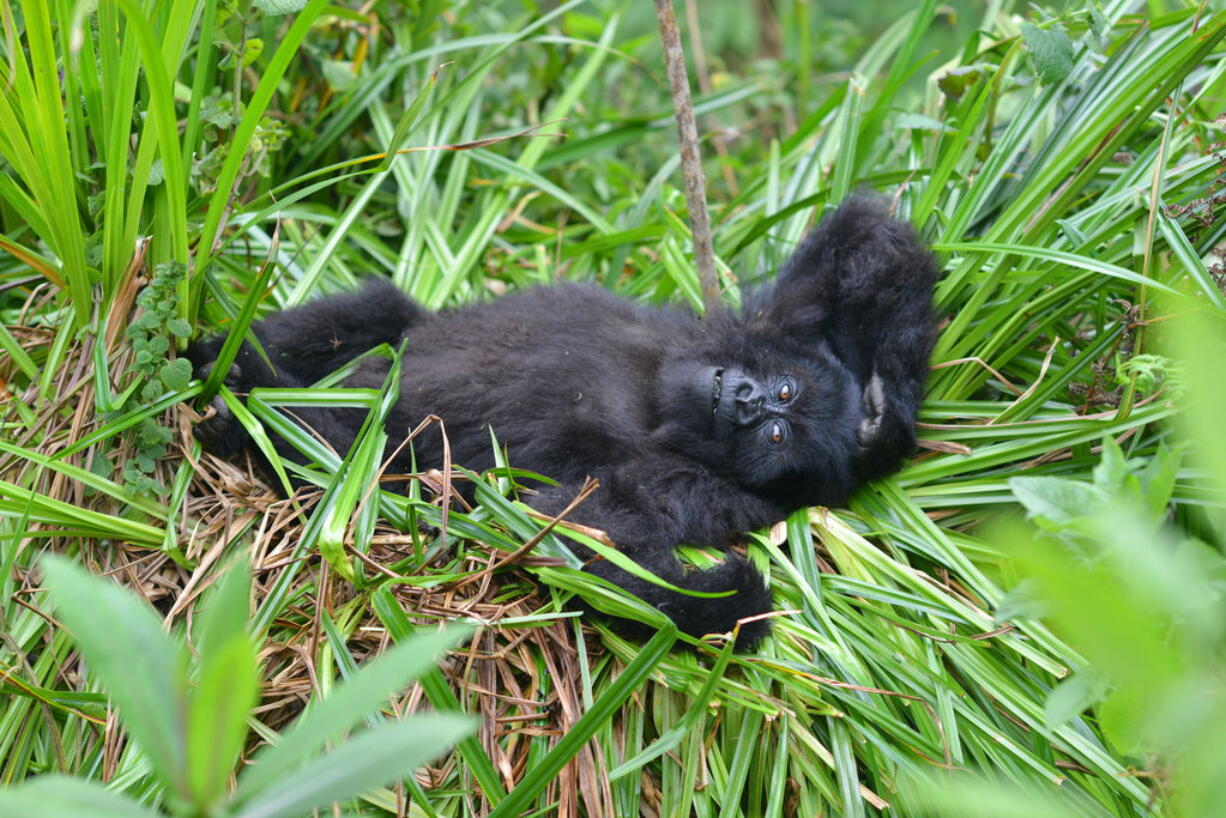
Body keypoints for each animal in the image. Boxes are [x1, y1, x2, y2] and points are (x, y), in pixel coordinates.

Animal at [191, 194, 936, 647]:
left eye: (778, 436)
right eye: (783, 393)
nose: (749, 404)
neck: (662, 403)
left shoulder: (691, 487)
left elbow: (581, 535)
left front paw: (727, 601)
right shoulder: (775, 323)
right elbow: (864, 241)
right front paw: (883, 406)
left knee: (348, 448)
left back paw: (243, 413)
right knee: (387, 311)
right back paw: (225, 359)